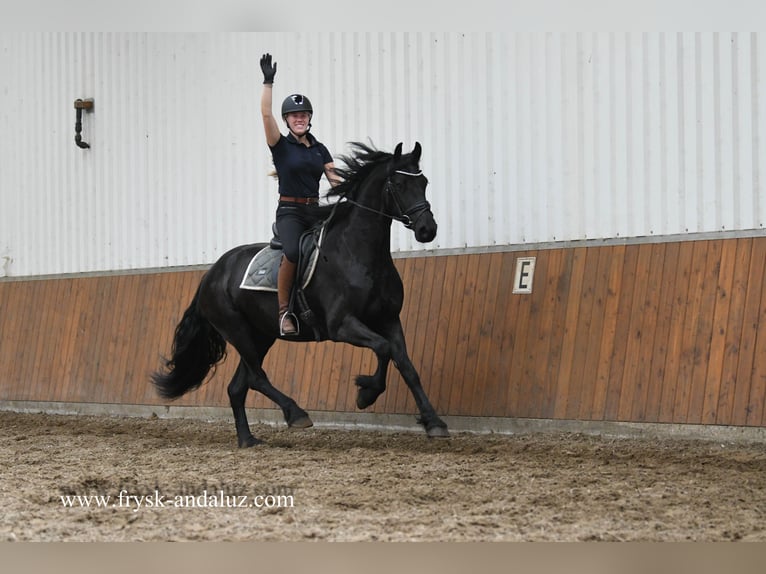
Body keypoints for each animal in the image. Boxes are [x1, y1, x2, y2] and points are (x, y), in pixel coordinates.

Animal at [151, 142, 450, 448]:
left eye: (423, 183)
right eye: (399, 184)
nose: (427, 229)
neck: (360, 253)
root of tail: (211, 274)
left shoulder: (389, 320)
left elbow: (406, 365)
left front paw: (434, 422)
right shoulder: (342, 326)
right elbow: (384, 348)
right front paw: (366, 393)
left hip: (260, 336)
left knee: (237, 386)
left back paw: (248, 440)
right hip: (237, 331)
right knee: (257, 378)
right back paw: (296, 413)